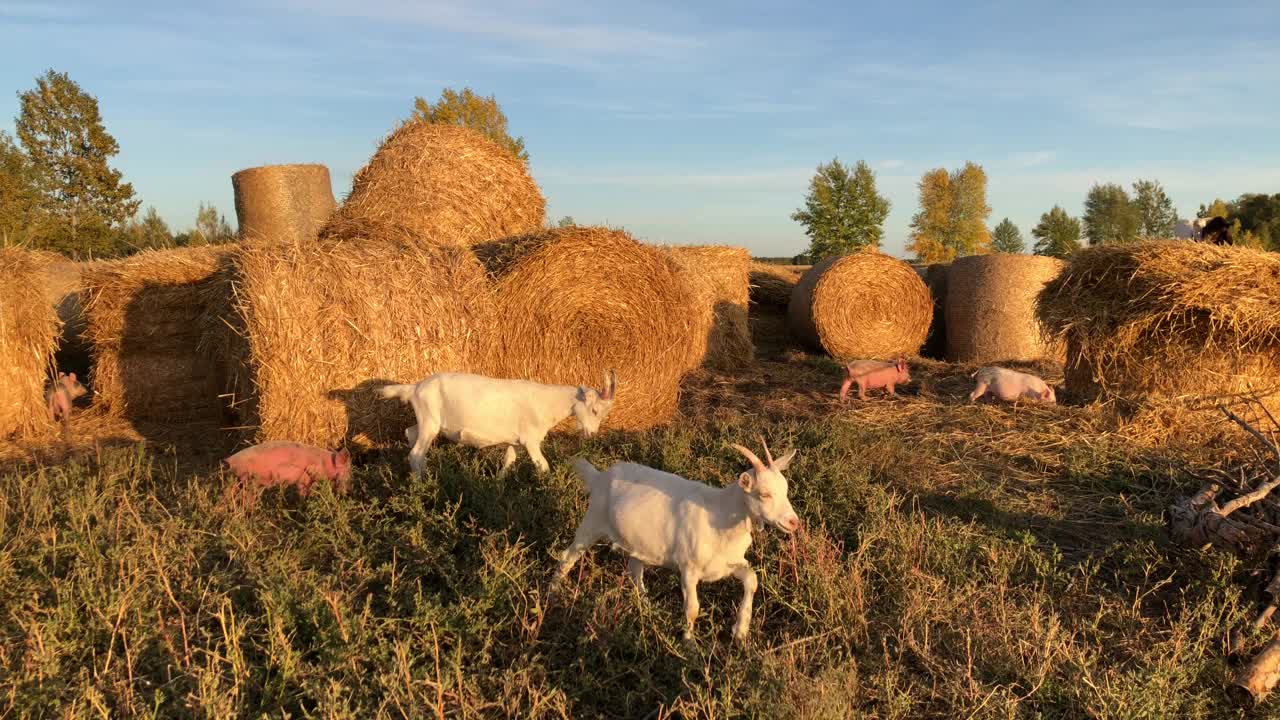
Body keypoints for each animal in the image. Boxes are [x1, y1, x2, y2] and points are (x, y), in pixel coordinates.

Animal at [378, 368, 614, 476]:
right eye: (594, 410)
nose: (591, 434)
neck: (546, 403)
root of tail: (415, 388)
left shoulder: (515, 441)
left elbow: (508, 461)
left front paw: (497, 485)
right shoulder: (531, 441)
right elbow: (543, 466)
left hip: (427, 422)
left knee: (410, 434)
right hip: (429, 422)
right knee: (415, 454)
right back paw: (421, 484)